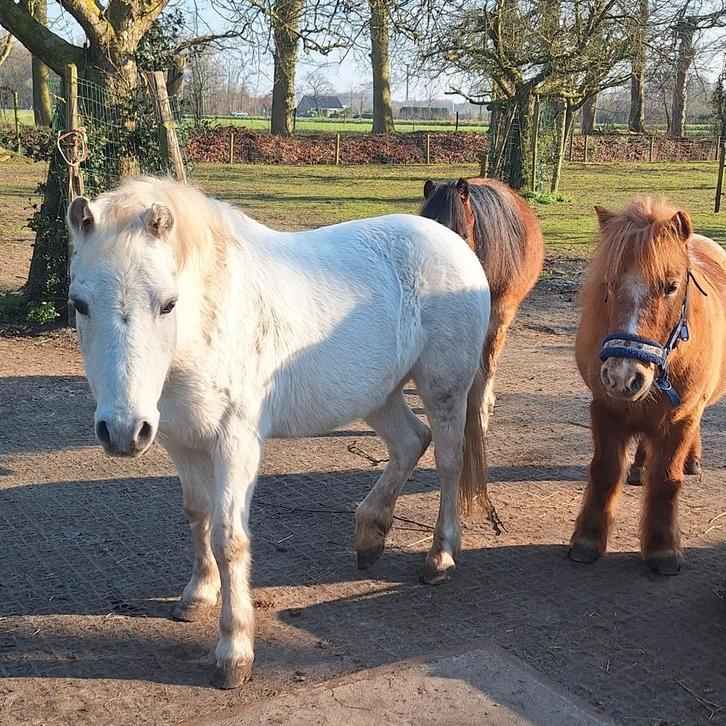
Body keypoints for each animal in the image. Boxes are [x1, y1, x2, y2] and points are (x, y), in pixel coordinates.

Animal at [66, 176, 492, 689]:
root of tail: (453, 244)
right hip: (377, 394)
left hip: (444, 389)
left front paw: (234, 652)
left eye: (167, 304)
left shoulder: (235, 442)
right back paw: (369, 536)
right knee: (410, 442)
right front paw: (198, 594)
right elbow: (197, 514)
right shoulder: (180, 440)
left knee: (448, 462)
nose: (122, 430)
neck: (207, 321)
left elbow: (229, 538)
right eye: (79, 304)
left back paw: (440, 558)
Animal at [569, 198, 726, 575]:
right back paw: (639, 466)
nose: (623, 376)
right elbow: (605, 470)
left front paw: (662, 549)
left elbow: (667, 481)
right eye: (608, 285)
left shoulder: (681, 418)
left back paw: (692, 460)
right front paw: (588, 540)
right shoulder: (606, 408)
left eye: (671, 286)